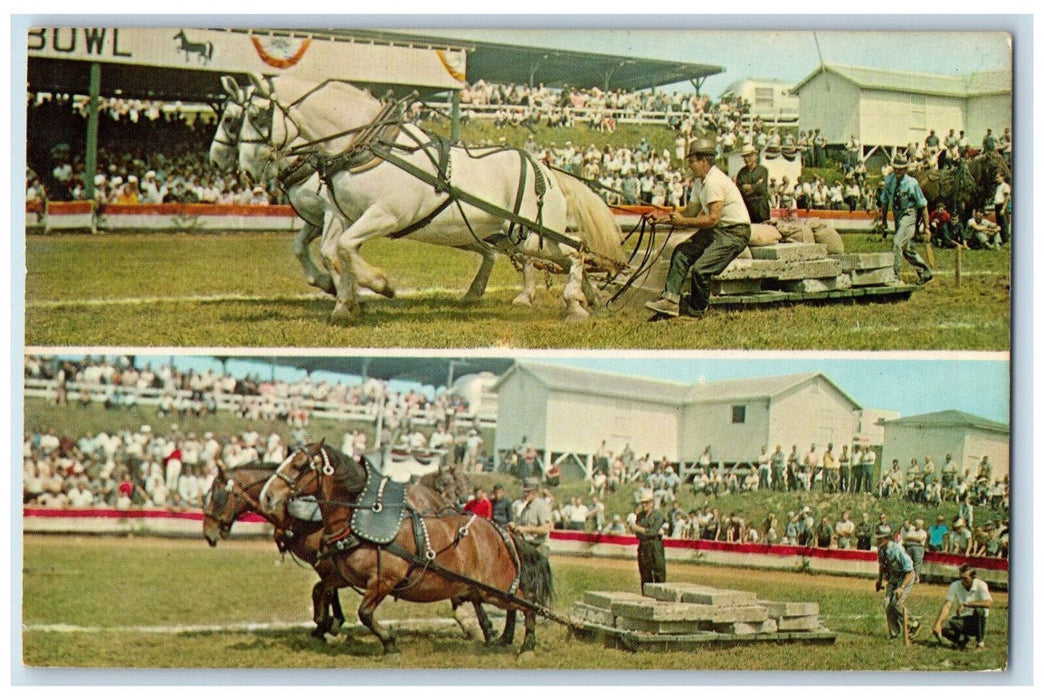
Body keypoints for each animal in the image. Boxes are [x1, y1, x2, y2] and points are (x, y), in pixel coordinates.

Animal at [201, 457, 455, 643]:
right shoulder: (329, 565)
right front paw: (327, 623)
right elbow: (323, 590)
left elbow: (326, 591)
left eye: (218, 494)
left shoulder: (328, 563)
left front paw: (329, 624)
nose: (208, 533)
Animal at [239, 74, 622, 325]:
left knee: (575, 253)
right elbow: (332, 251)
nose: (245, 167)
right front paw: (345, 300)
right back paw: (590, 299)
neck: (367, 148)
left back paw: (575, 305)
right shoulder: (339, 215)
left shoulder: (385, 214)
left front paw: (379, 284)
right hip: (508, 235)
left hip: (533, 235)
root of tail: (546, 170)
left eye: (256, 115)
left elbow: (342, 248)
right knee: (566, 257)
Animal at [258, 445, 555, 660]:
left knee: (528, 603)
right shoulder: (345, 575)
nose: (267, 497)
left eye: (298, 466)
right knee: (514, 605)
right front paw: (324, 623)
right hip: (488, 590)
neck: (358, 517)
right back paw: (504, 638)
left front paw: (389, 644)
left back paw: (526, 645)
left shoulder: (383, 581)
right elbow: (321, 589)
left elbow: (365, 613)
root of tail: (500, 530)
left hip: (494, 587)